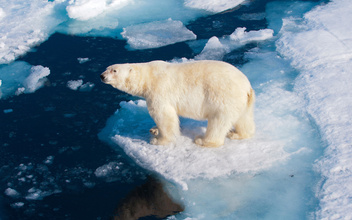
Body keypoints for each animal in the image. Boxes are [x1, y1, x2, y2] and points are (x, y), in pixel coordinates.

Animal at [100, 59, 254, 148]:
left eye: (114, 70)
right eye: (107, 67)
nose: (102, 76)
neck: (147, 77)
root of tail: (247, 87)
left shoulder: (159, 90)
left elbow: (164, 116)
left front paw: (158, 140)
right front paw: (154, 129)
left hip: (223, 97)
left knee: (218, 121)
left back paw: (203, 140)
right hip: (242, 101)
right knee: (244, 118)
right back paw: (237, 134)